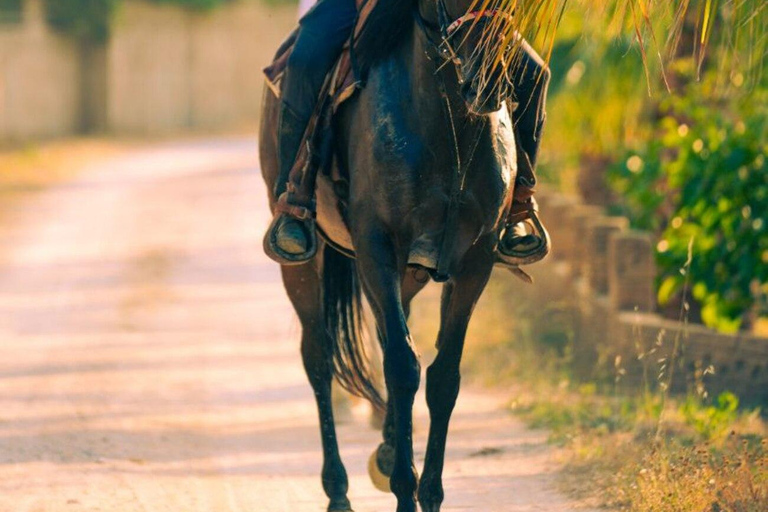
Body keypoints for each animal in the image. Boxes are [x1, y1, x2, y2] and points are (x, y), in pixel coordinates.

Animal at [259, 0, 521, 509]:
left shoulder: (475, 261)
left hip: (409, 274)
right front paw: (406, 488)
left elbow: (442, 376)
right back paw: (339, 491)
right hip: (304, 263)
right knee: (319, 357)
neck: (448, 122)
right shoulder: (376, 246)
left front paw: (429, 490)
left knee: (385, 339)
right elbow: (402, 367)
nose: (488, 80)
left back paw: (383, 450)